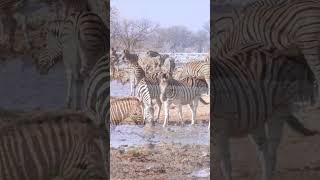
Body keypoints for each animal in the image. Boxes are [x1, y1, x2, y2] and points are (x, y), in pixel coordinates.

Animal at [211, 43, 318, 180]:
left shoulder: (221, 128)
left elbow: (226, 165)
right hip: (255, 118)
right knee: (264, 151)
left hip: (278, 110)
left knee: (271, 153)